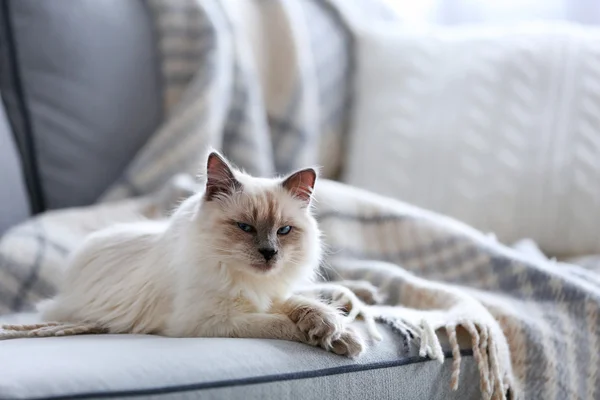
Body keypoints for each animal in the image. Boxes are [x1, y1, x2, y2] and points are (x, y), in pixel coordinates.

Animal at [36, 151, 370, 356]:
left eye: (284, 231)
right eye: (245, 227)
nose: (269, 253)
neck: (245, 281)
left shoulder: (272, 294)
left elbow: (304, 305)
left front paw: (340, 335)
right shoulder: (212, 321)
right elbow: (278, 323)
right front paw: (328, 338)